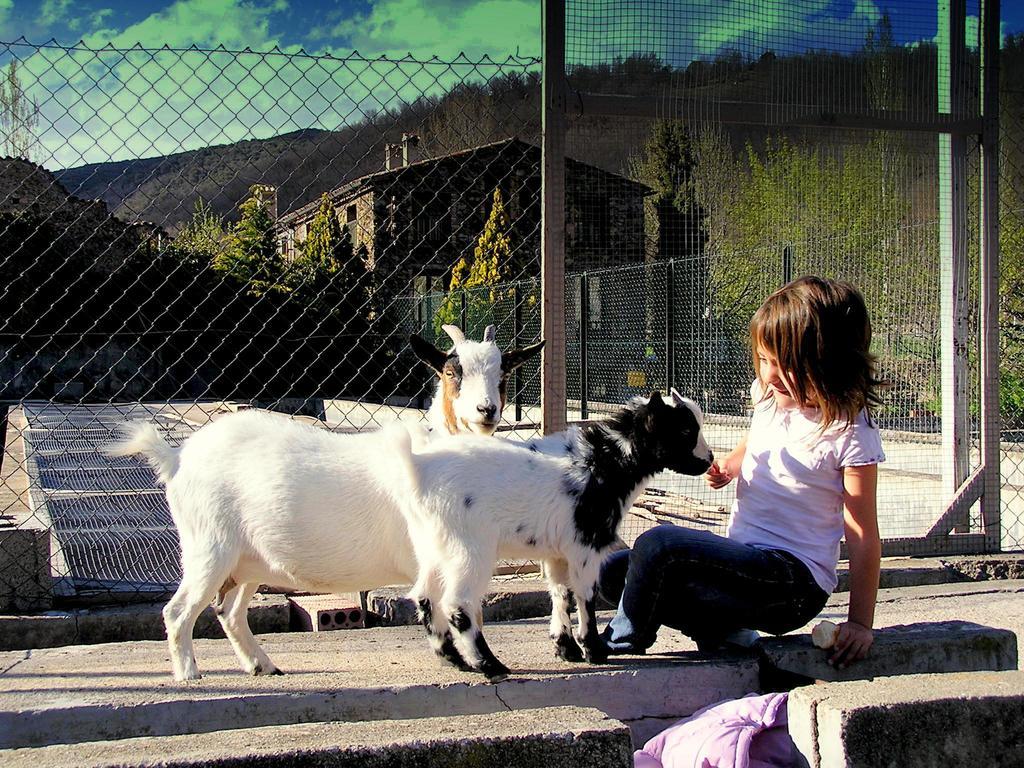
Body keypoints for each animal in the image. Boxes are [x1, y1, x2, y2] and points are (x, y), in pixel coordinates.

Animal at [105, 327, 544, 684]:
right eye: (452, 372)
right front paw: (476, 663)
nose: (486, 412)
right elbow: (460, 606)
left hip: (247, 561)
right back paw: (189, 674)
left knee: (229, 611)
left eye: (503, 375)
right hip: (208, 546)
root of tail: (176, 457)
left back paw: (262, 665)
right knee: (178, 611)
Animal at [389, 393, 712, 684]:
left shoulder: (558, 551)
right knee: (458, 603)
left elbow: (561, 592)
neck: (602, 462)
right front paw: (594, 650)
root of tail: (417, 469)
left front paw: (566, 648)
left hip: (433, 544)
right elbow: (586, 595)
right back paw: (490, 665)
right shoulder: (585, 544)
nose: (709, 461)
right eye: (685, 431)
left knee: (425, 595)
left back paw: (455, 660)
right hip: (469, 548)